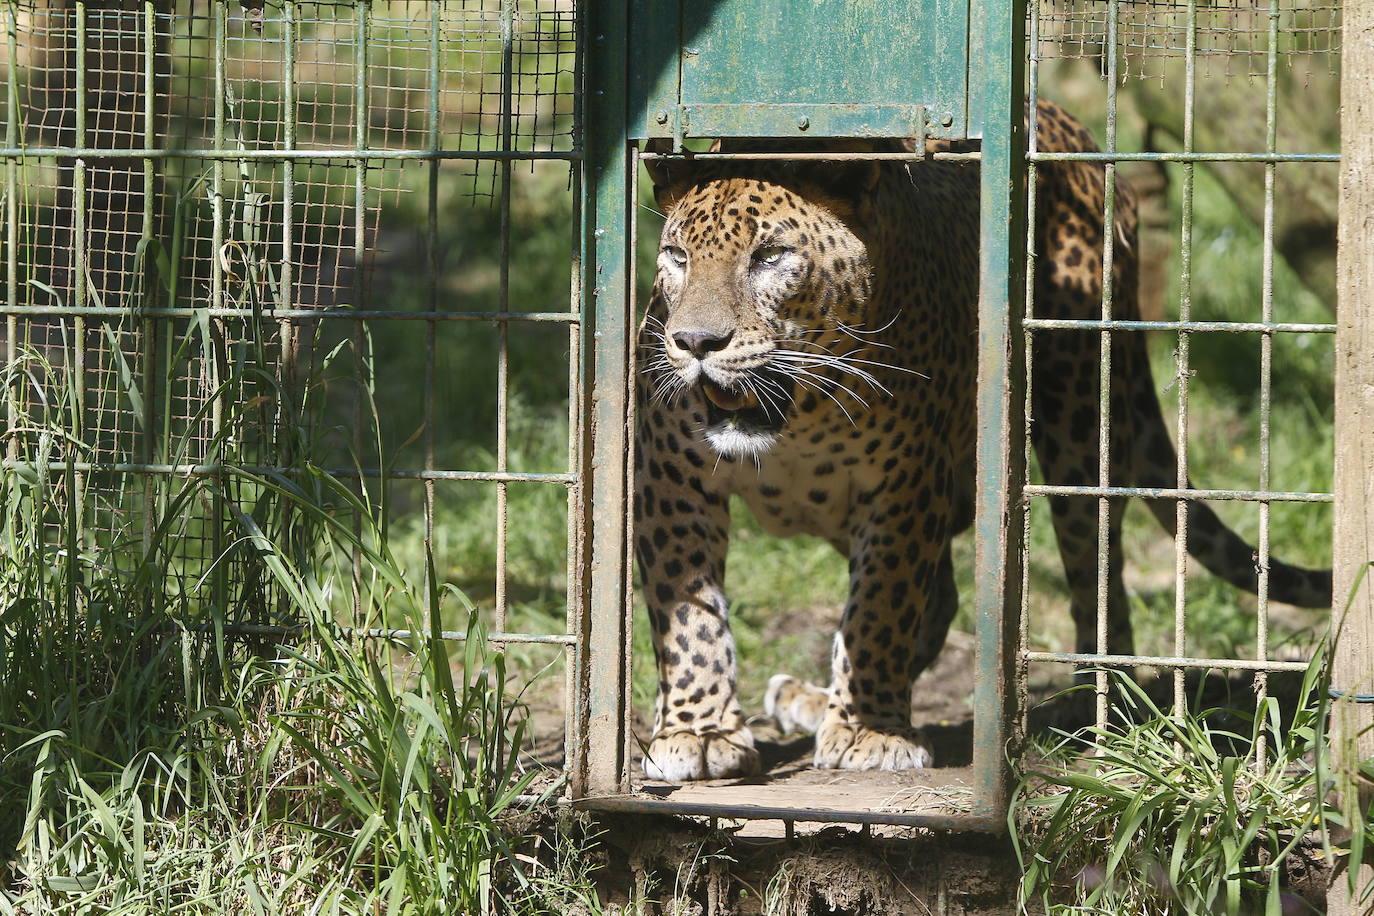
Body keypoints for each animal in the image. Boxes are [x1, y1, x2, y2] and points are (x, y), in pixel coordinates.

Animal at [632, 102, 1330, 791]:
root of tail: (1073, 128)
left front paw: (868, 732)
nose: (695, 343)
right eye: (676, 256)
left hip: (1079, 417)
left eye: (772, 256)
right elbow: (689, 614)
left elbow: (881, 607)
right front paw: (698, 731)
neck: (798, 418)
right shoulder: (669, 474)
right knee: (943, 596)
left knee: (1096, 568)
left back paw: (1093, 707)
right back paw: (805, 699)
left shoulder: (906, 485)